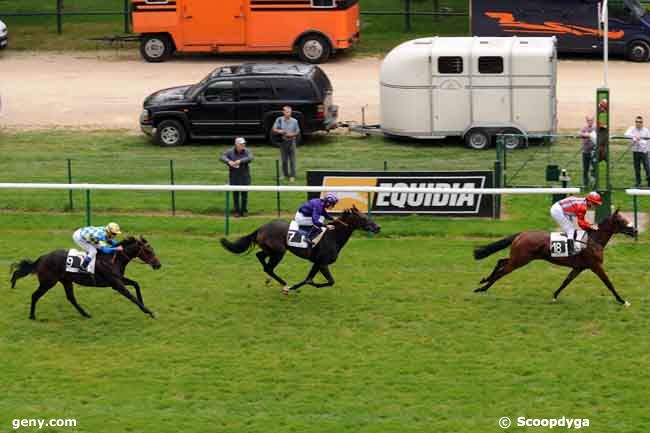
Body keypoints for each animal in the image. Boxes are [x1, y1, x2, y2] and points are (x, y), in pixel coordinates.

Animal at [10, 235, 161, 318]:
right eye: (148, 251)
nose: (158, 265)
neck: (113, 259)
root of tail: (42, 258)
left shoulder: (118, 279)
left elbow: (136, 284)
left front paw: (144, 304)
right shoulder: (116, 284)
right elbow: (131, 296)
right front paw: (149, 311)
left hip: (66, 281)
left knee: (71, 298)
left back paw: (85, 314)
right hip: (48, 282)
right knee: (35, 295)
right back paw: (32, 316)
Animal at [220, 206, 380, 294]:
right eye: (363, 218)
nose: (378, 227)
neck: (333, 236)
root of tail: (260, 228)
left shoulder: (317, 263)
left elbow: (308, 278)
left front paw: (296, 287)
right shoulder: (323, 263)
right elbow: (328, 281)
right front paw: (295, 287)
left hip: (271, 250)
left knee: (260, 257)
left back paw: (272, 280)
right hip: (279, 252)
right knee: (269, 268)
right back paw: (284, 284)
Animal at [470, 208, 632, 304]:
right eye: (621, 220)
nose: (635, 230)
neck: (593, 240)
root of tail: (521, 234)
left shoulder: (579, 267)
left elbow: (566, 281)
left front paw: (554, 295)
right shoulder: (595, 266)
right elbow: (609, 283)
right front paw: (622, 300)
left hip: (518, 258)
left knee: (501, 262)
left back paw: (484, 281)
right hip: (520, 260)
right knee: (502, 272)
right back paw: (482, 288)